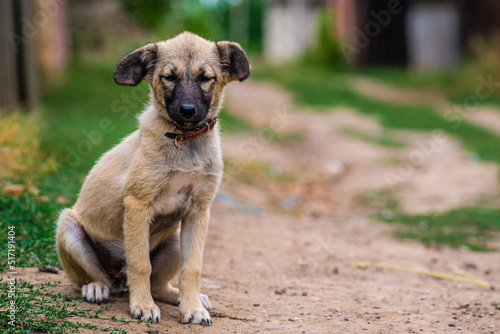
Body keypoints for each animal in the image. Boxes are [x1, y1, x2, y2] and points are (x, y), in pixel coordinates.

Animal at [55, 32, 250, 324]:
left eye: (206, 78)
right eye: (169, 77)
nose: (187, 110)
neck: (184, 140)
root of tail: (118, 278)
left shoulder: (198, 211)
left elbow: (192, 268)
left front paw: (192, 308)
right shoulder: (138, 205)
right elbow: (140, 264)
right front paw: (143, 306)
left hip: (175, 241)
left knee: (159, 285)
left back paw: (183, 297)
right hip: (68, 227)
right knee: (95, 278)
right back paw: (96, 287)